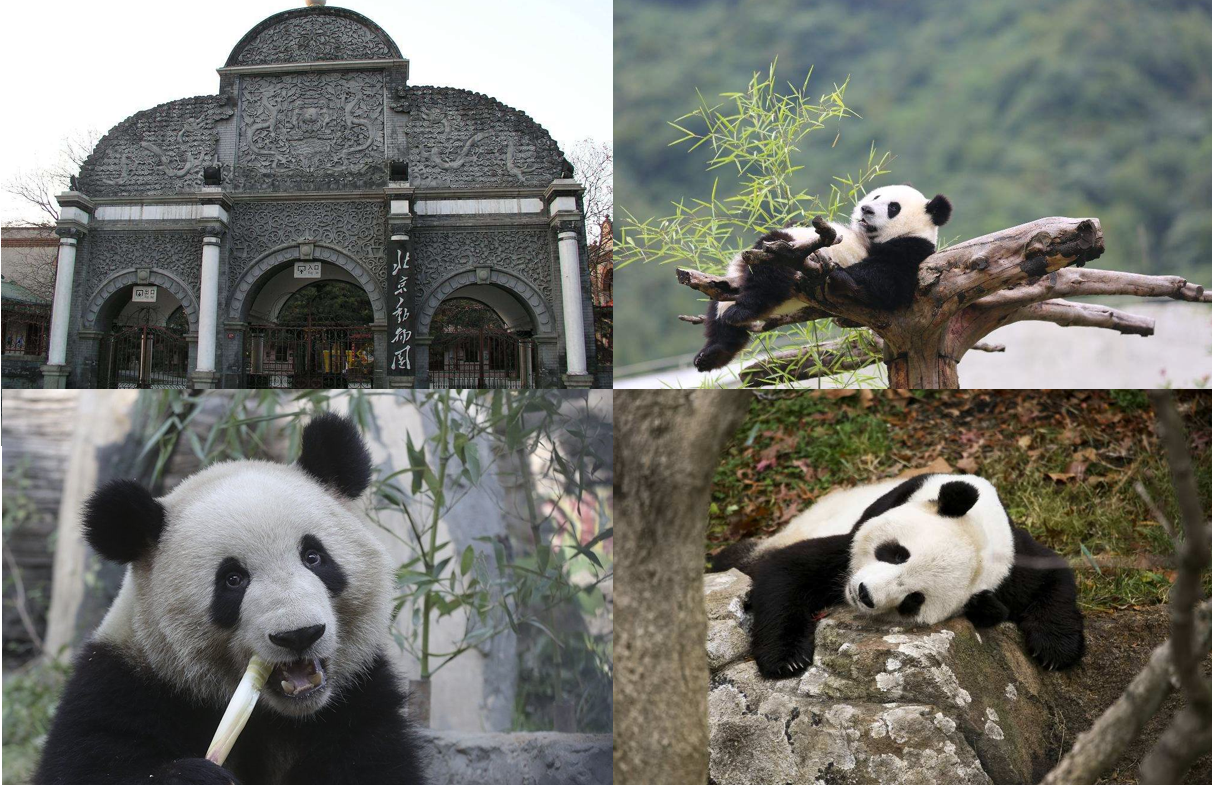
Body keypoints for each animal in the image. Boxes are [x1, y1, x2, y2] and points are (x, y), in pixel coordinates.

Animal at [35, 414, 426, 785]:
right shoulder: (122, 686)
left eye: (314, 557)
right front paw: (198, 775)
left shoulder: (357, 701)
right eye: (233, 580)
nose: (298, 634)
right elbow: (87, 765)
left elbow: (373, 762)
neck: (279, 714)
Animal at [693, 184, 952, 372]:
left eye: (893, 207)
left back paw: (743, 310)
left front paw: (844, 279)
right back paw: (712, 353)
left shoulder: (911, 250)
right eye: (876, 196)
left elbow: (888, 282)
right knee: (719, 309)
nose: (866, 209)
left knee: (770, 275)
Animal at [708, 473, 1084, 679]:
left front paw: (1054, 649)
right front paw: (786, 660)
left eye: (913, 601)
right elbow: (788, 571)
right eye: (897, 553)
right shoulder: (859, 533)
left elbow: (1053, 576)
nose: (864, 594)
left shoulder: (1009, 564)